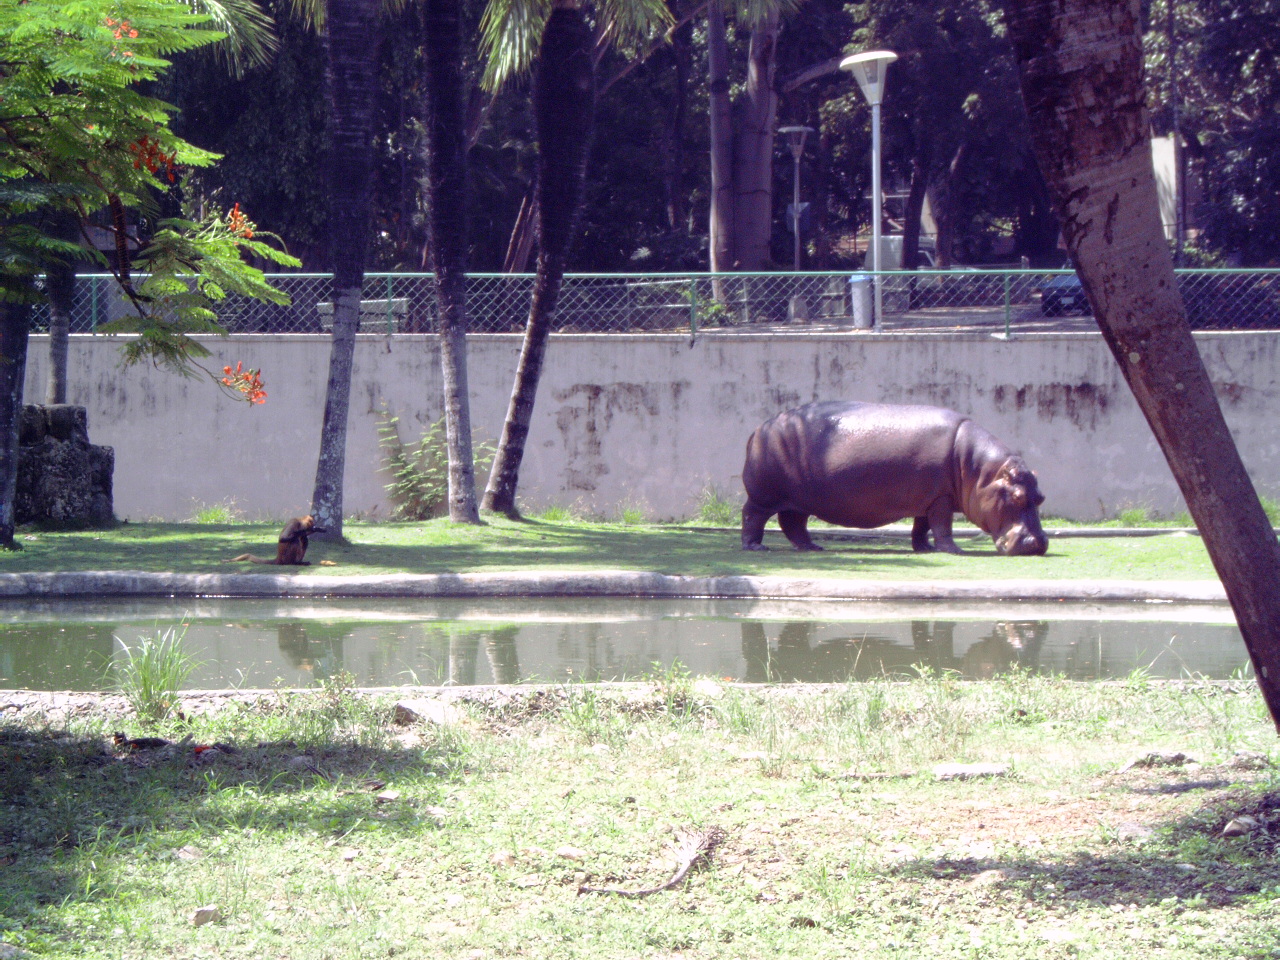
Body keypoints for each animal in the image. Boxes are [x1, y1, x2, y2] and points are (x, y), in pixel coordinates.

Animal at [741, 401, 1048, 556]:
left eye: (1041, 498)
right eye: (1017, 496)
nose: (1039, 543)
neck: (979, 470)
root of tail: (759, 428)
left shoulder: (930, 497)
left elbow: (922, 526)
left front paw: (924, 549)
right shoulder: (942, 499)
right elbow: (942, 526)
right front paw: (954, 550)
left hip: (799, 500)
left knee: (792, 523)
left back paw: (813, 547)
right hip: (764, 495)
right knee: (752, 515)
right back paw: (756, 546)